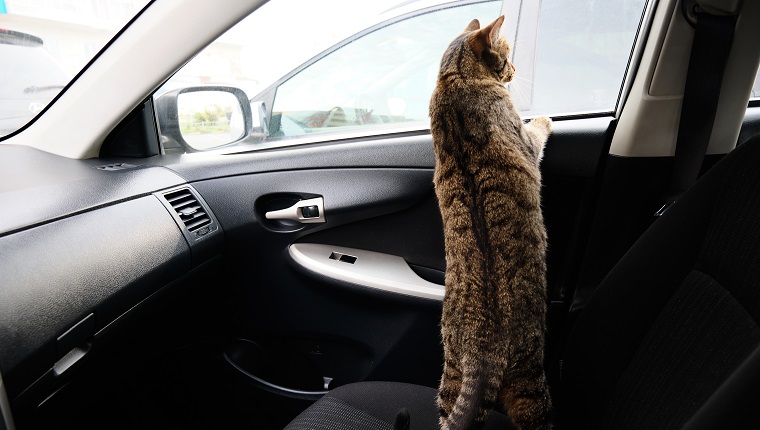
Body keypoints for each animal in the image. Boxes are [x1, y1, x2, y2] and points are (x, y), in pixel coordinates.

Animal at [430, 15, 548, 428]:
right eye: (507, 57)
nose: (512, 71)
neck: (454, 79)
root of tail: (485, 348)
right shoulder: (524, 139)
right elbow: (536, 131)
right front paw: (546, 117)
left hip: (450, 374)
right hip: (531, 380)